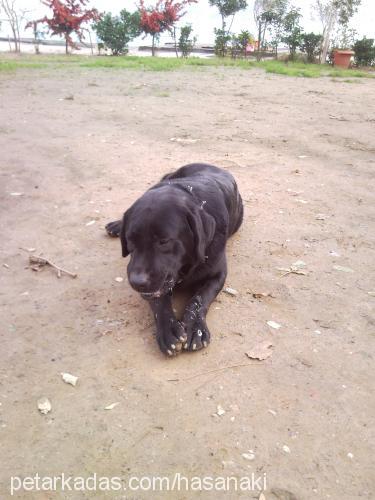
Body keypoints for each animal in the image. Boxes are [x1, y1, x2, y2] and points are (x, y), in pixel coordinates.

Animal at [106, 163, 244, 356]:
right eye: (130, 240)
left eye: (164, 241)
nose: (136, 282)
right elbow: (159, 302)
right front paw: (169, 329)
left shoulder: (217, 275)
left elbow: (199, 298)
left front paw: (195, 328)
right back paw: (116, 225)